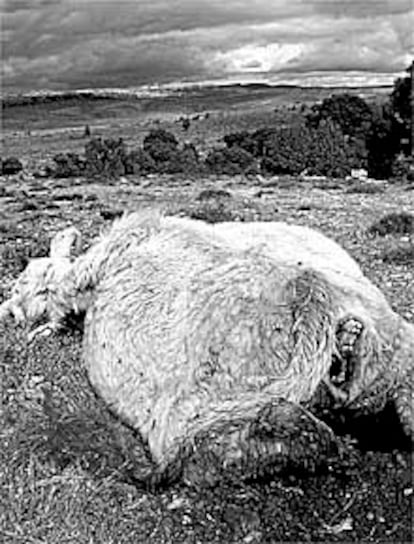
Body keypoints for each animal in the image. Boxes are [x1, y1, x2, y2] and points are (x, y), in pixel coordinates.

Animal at [0, 211, 414, 484]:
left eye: (21, 282)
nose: (9, 310)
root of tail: (317, 305)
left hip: (187, 414)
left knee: (221, 450)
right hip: (399, 351)